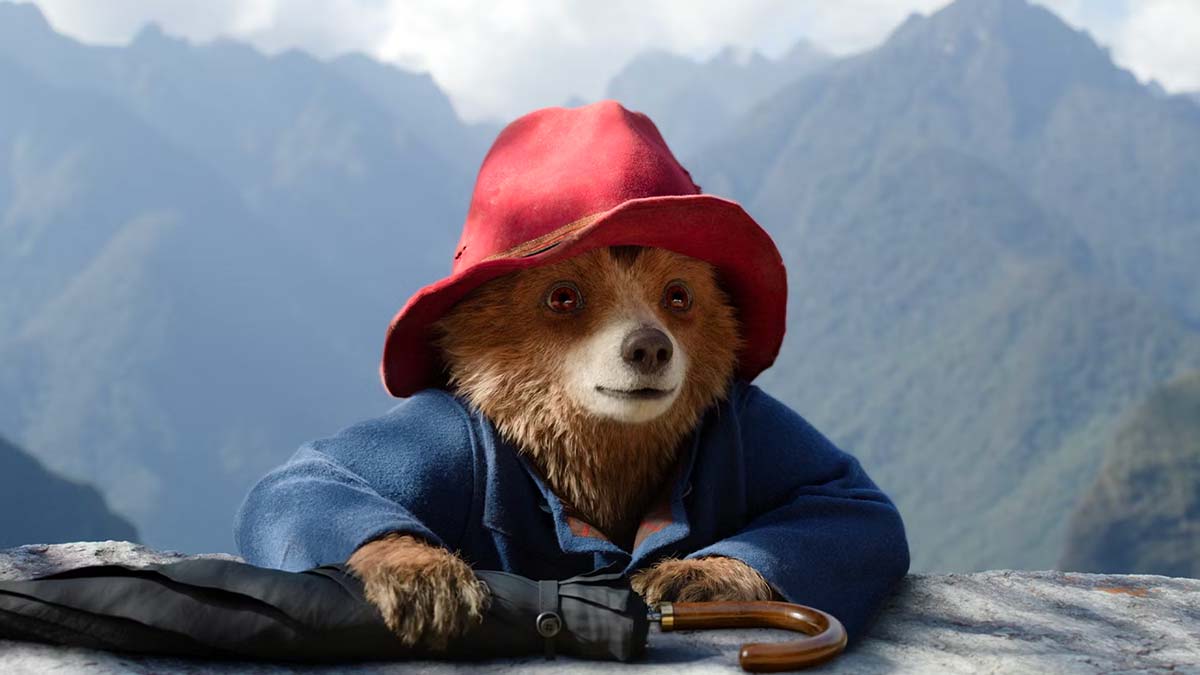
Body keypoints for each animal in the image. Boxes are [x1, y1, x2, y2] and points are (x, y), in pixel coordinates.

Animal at [234, 99, 909, 653]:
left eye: (679, 294)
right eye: (563, 295)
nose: (649, 347)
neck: (601, 463)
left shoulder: (748, 423)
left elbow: (849, 500)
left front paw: (690, 572)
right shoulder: (453, 434)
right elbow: (310, 478)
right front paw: (424, 577)